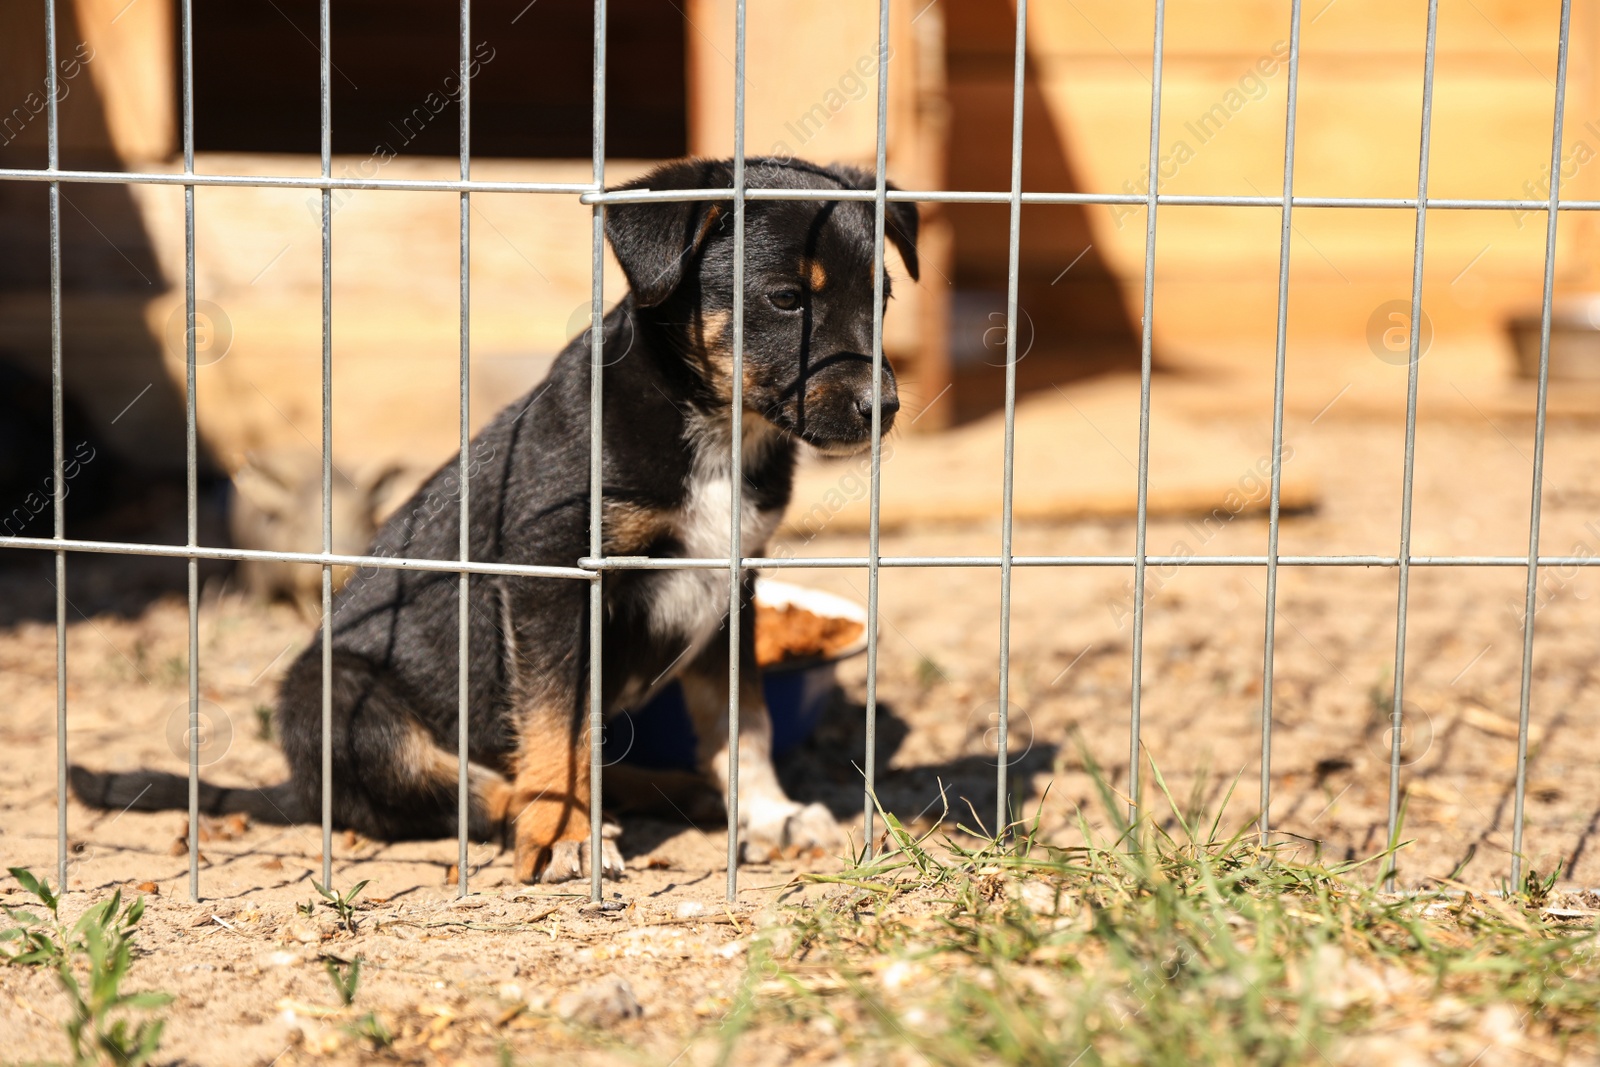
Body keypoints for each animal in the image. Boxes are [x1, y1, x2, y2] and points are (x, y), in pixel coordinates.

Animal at [75, 156, 921, 883]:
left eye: (880, 297)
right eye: (787, 299)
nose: (883, 409)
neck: (714, 431)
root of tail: (302, 787)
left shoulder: (732, 584)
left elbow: (743, 722)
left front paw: (770, 813)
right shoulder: (550, 573)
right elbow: (555, 724)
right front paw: (565, 837)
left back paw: (668, 788)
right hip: (339, 697)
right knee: (455, 791)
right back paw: (571, 813)